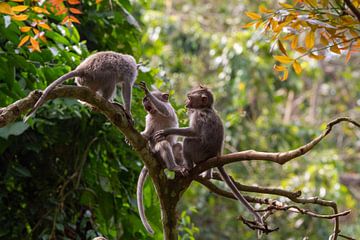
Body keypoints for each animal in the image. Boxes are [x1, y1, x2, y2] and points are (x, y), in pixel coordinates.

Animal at [136, 81, 184, 234]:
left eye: (147, 100)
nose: (144, 100)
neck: (155, 114)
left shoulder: (168, 109)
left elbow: (164, 109)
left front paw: (147, 91)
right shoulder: (148, 119)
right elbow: (148, 134)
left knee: (177, 146)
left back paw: (178, 166)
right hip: (156, 153)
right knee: (163, 144)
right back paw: (172, 166)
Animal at [153, 86, 266, 229]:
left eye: (190, 97)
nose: (186, 103)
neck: (205, 108)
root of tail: (215, 154)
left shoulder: (198, 115)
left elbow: (193, 132)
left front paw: (167, 132)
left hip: (200, 151)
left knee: (188, 142)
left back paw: (188, 167)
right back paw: (207, 175)